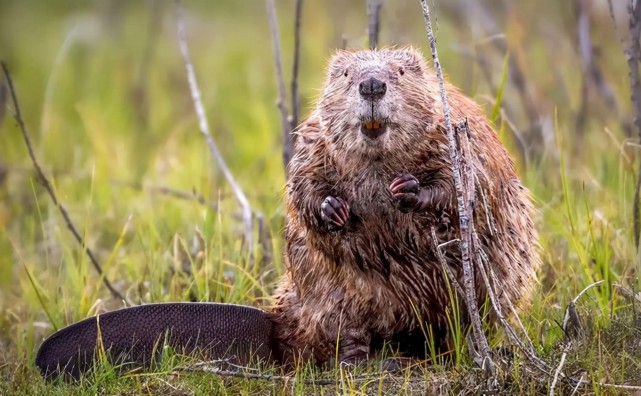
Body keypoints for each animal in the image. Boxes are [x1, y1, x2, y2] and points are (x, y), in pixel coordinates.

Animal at [35, 46, 536, 378]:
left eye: (398, 70)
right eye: (347, 72)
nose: (372, 84)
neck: (377, 159)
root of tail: (275, 327)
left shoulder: (454, 132)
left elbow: (462, 184)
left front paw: (407, 189)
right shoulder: (313, 139)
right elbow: (302, 186)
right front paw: (334, 208)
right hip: (331, 297)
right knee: (340, 336)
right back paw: (360, 360)